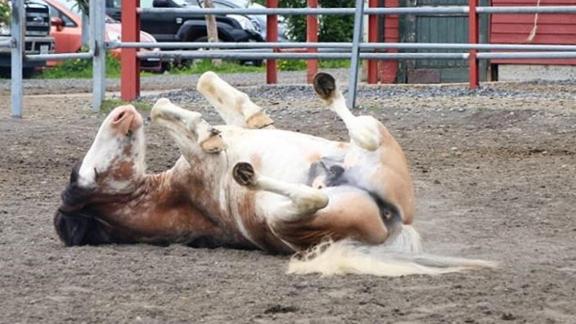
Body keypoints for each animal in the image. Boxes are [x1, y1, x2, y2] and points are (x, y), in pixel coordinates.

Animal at [55, 71, 496, 276]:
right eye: (91, 171)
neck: (178, 194)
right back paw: (253, 172)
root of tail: (393, 223)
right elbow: (179, 119)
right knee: (317, 191)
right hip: (286, 215)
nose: (121, 113)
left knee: (360, 135)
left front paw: (242, 120)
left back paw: (324, 92)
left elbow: (200, 91)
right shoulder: (197, 158)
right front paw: (210, 135)